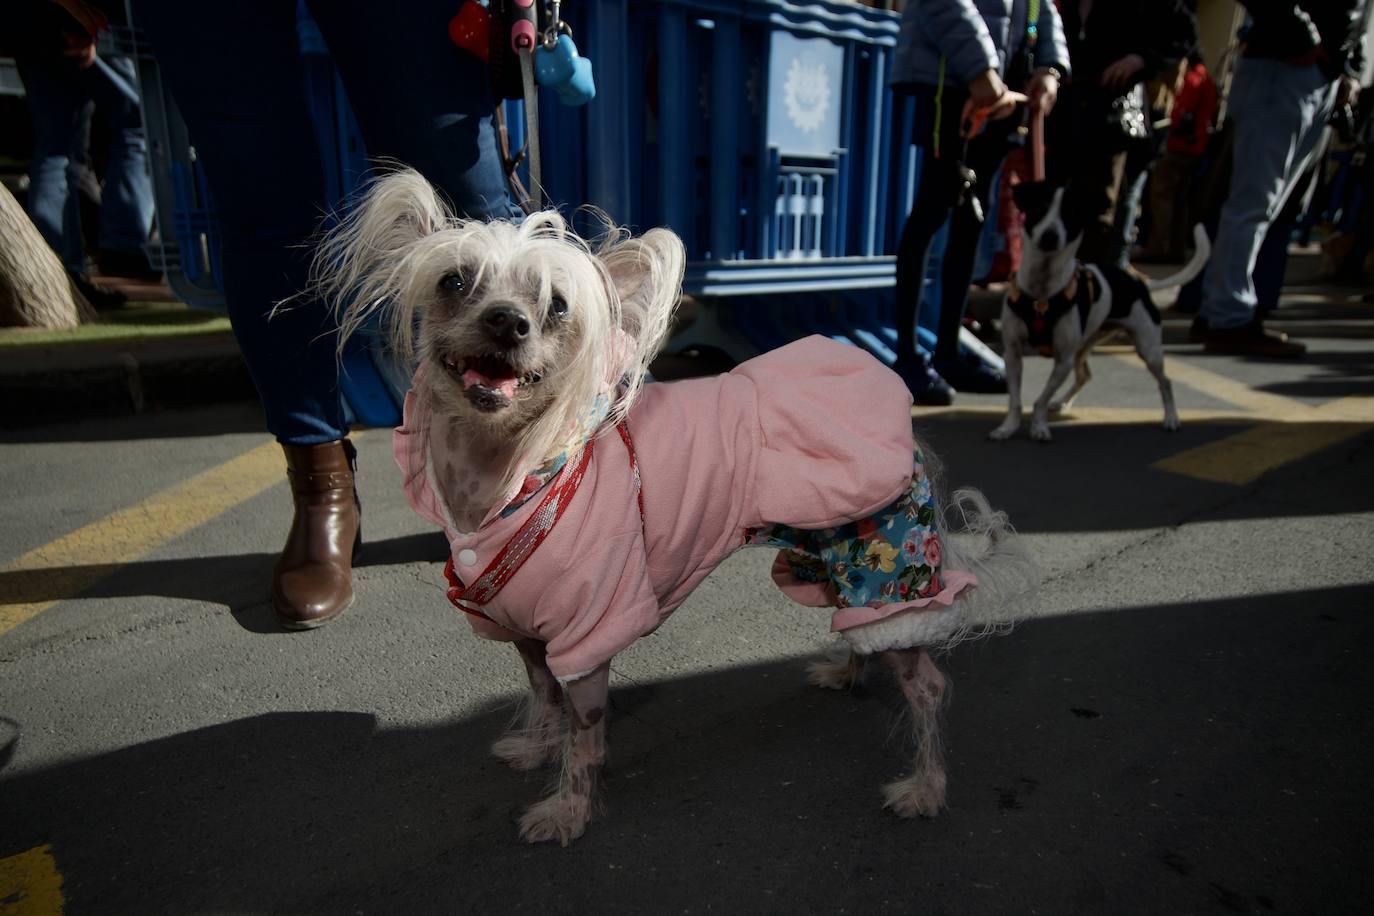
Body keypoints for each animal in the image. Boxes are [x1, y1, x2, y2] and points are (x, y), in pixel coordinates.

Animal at [989, 181, 1214, 442]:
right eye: (1039, 209)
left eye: (1069, 215)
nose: (1049, 236)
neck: (1042, 291)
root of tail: (1139, 284)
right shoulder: (1013, 354)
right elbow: (1015, 401)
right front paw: (1007, 428)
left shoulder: (1063, 359)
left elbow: (1040, 400)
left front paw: (1038, 426)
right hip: (1084, 346)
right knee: (1085, 375)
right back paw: (1061, 402)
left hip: (1148, 349)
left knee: (1165, 381)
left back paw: (1171, 418)